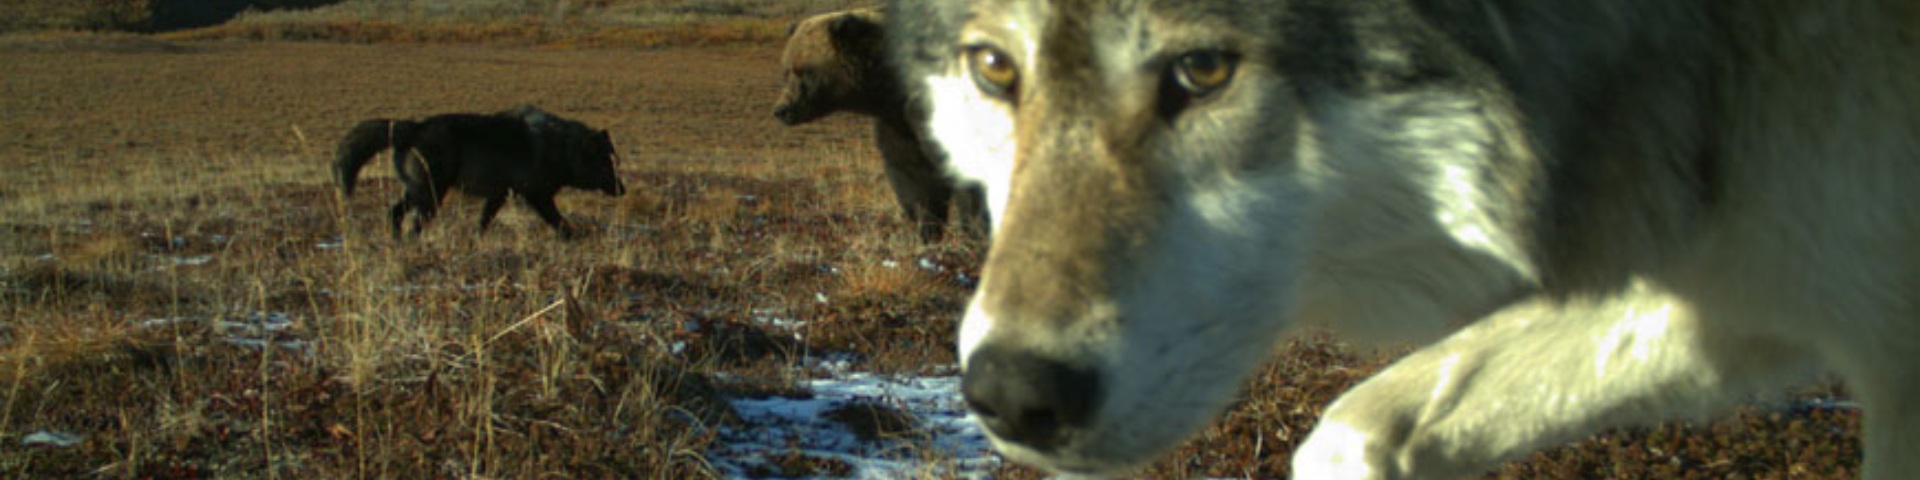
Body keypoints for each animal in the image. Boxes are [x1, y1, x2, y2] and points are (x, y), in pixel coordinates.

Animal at [334, 105, 627, 239]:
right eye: (607, 164)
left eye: (616, 162)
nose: (623, 189)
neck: (564, 148)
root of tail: (414, 127)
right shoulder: (537, 197)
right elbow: (558, 221)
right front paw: (572, 237)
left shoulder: (499, 195)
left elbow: (483, 221)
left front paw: (477, 240)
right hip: (430, 198)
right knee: (412, 223)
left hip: (419, 194)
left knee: (393, 213)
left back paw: (396, 242)